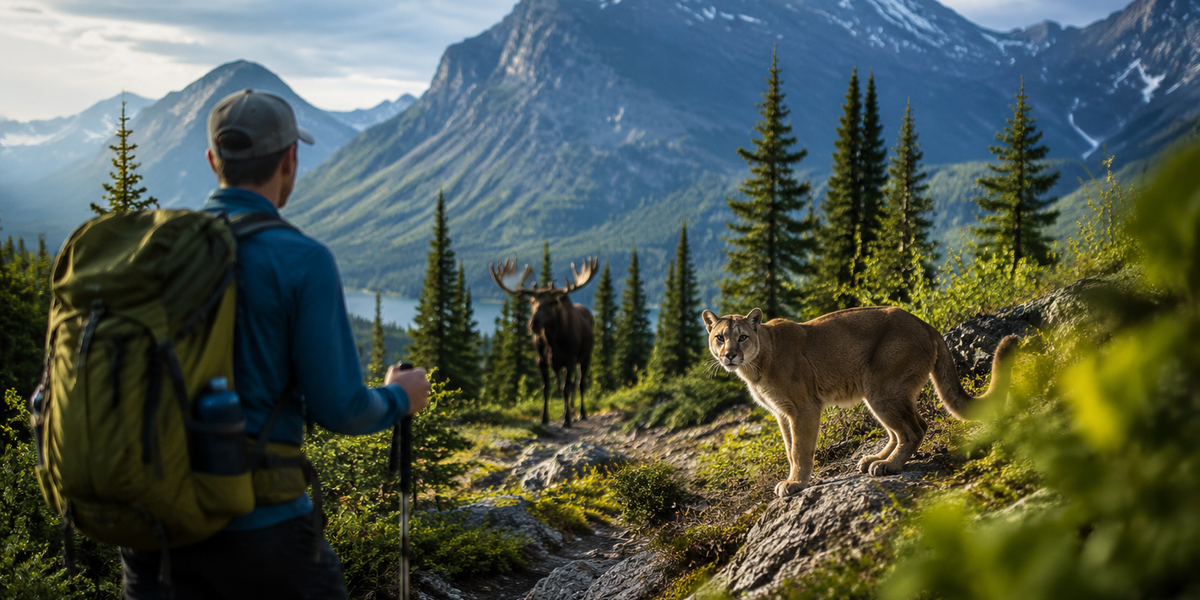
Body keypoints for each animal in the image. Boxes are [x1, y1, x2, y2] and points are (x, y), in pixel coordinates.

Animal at [490, 257, 598, 428]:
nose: (533, 323)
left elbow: (567, 388)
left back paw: (581, 413)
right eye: (532, 301)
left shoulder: (570, 360)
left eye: (552, 303)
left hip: (585, 357)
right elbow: (546, 388)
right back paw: (571, 410)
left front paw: (566, 420)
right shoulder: (541, 360)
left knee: (580, 384)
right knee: (567, 386)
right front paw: (544, 418)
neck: (552, 342)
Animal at [703, 306, 1019, 498]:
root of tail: (925, 324)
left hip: (881, 387)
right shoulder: (782, 413)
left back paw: (889, 466)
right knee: (904, 429)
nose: (729, 355)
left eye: (742, 337)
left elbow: (801, 450)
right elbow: (790, 450)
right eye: (720, 337)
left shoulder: (804, 408)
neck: (756, 365)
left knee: (914, 428)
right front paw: (792, 479)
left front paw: (796, 484)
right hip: (876, 392)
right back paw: (875, 459)